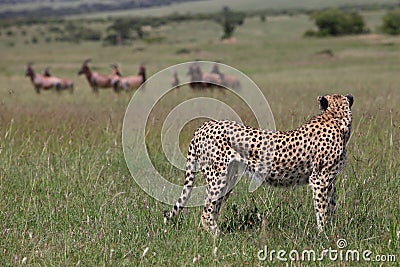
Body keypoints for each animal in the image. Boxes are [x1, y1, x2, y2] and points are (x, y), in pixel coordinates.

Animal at [162, 93, 354, 234]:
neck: (336, 118)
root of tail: (204, 126)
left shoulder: (330, 180)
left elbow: (331, 205)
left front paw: (333, 230)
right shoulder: (319, 179)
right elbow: (322, 209)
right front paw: (323, 234)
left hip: (229, 178)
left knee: (213, 207)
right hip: (218, 177)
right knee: (206, 210)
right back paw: (217, 237)